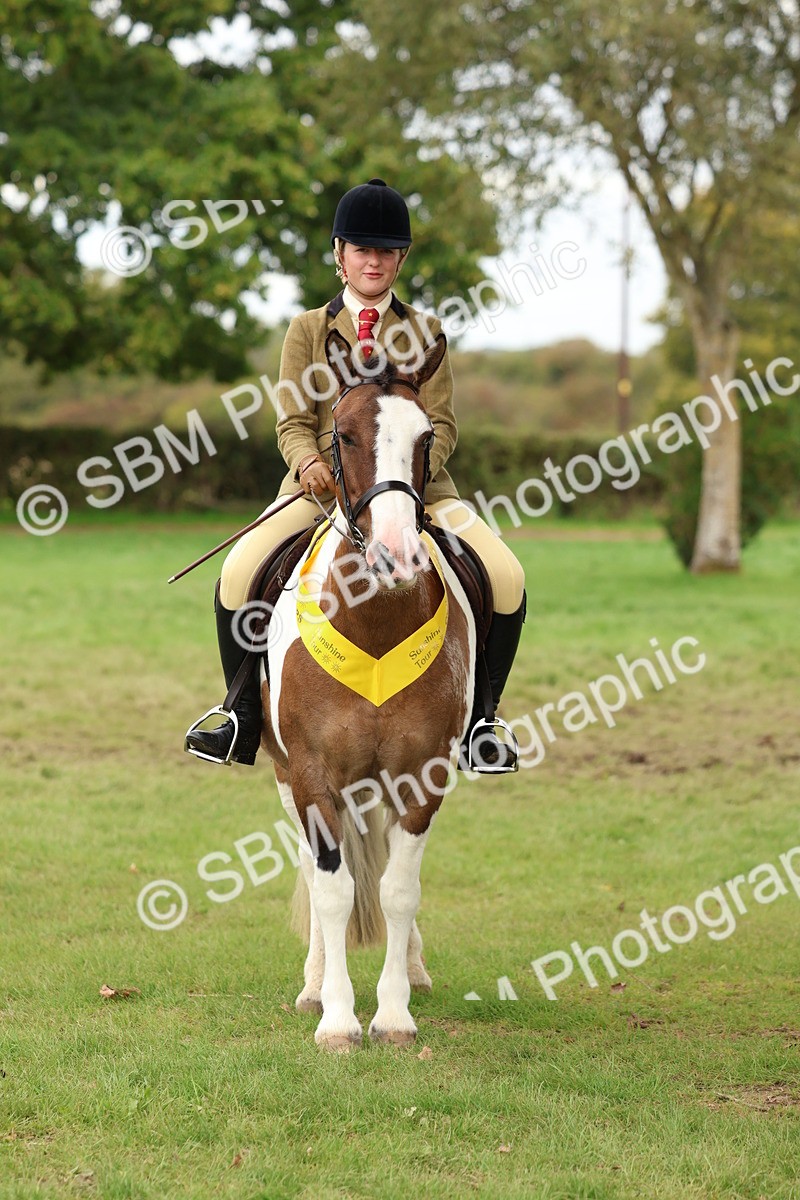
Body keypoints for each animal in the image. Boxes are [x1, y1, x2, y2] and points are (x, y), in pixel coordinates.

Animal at [259, 329, 475, 1051]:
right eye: (344, 436)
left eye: (426, 438)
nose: (395, 557)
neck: (374, 616)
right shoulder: (311, 774)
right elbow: (333, 889)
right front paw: (336, 1018)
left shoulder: (421, 774)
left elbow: (398, 890)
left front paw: (394, 1014)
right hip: (284, 774)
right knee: (314, 866)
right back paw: (312, 983)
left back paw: (413, 967)